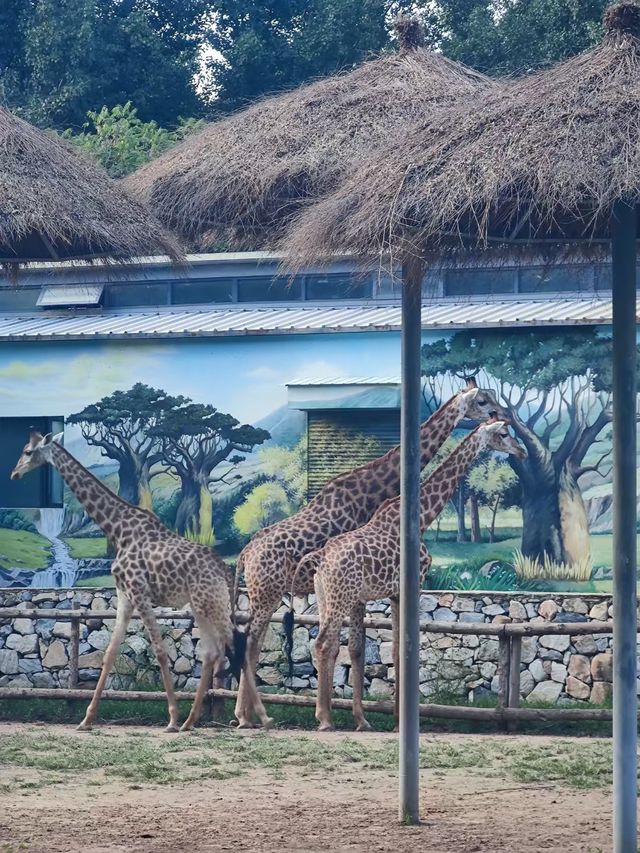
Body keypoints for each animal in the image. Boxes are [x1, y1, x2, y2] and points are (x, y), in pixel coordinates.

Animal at [11, 432, 270, 732]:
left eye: (28, 452)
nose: (14, 473)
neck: (117, 529)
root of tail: (225, 570)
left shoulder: (139, 592)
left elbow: (159, 650)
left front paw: (171, 717)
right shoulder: (125, 595)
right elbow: (110, 652)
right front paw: (87, 720)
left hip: (211, 603)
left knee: (237, 643)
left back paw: (256, 717)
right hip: (201, 605)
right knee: (212, 652)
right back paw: (191, 721)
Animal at [232, 380, 508, 724]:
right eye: (483, 401)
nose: (502, 415)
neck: (376, 488)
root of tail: (245, 553)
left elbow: (355, 649)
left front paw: (357, 716)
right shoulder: (359, 591)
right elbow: (352, 648)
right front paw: (355, 717)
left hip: (265, 594)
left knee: (250, 642)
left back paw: (246, 714)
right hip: (268, 593)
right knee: (250, 642)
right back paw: (247, 716)